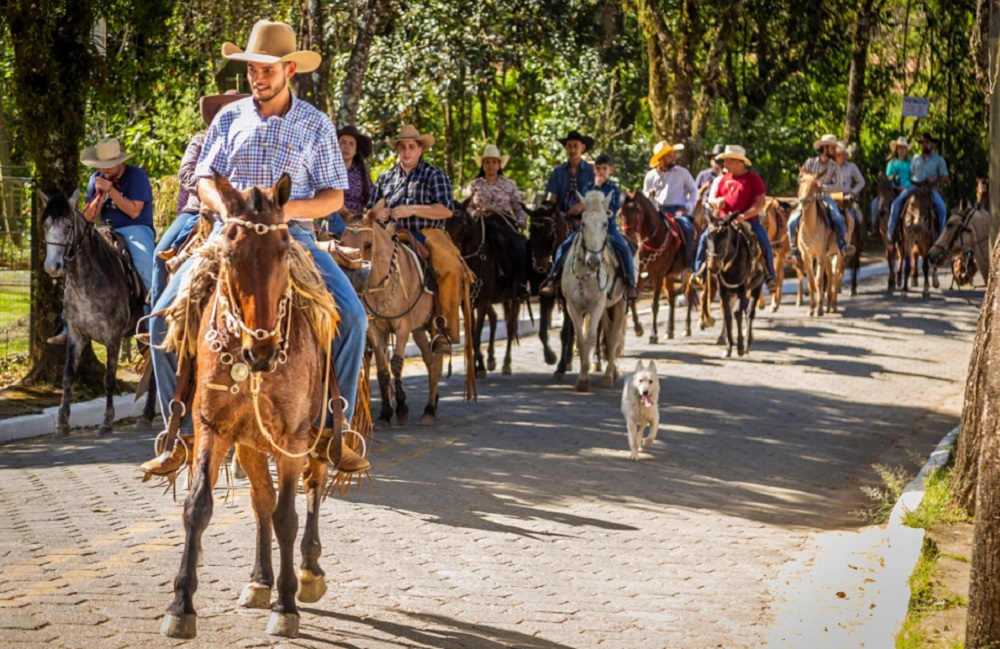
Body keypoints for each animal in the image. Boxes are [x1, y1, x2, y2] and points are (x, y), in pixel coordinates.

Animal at [40, 192, 156, 436]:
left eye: (68, 225)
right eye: (45, 226)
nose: (53, 266)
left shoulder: (113, 339)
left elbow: (109, 379)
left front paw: (107, 421)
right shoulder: (76, 336)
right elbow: (68, 376)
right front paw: (62, 423)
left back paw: (149, 416)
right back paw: (147, 416)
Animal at [156, 175, 344, 640]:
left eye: (284, 248)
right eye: (229, 251)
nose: (261, 350)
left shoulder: (293, 438)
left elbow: (288, 517)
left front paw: (287, 604)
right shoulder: (212, 427)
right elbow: (199, 507)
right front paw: (181, 606)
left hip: (318, 435)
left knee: (312, 486)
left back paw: (309, 572)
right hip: (249, 444)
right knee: (262, 500)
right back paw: (260, 580)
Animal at [564, 187, 624, 390]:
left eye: (605, 223)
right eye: (583, 223)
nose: (594, 262)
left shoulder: (596, 305)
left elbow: (590, 337)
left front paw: (584, 378)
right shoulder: (573, 306)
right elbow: (581, 339)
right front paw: (583, 376)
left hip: (621, 304)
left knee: (614, 336)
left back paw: (609, 375)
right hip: (606, 308)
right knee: (608, 332)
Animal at [616, 189, 696, 342]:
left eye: (635, 211)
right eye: (621, 213)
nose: (627, 235)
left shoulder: (657, 276)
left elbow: (654, 305)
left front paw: (653, 334)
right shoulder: (641, 275)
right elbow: (632, 300)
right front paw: (638, 328)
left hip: (687, 272)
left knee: (689, 295)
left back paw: (687, 329)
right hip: (669, 276)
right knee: (671, 298)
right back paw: (669, 331)